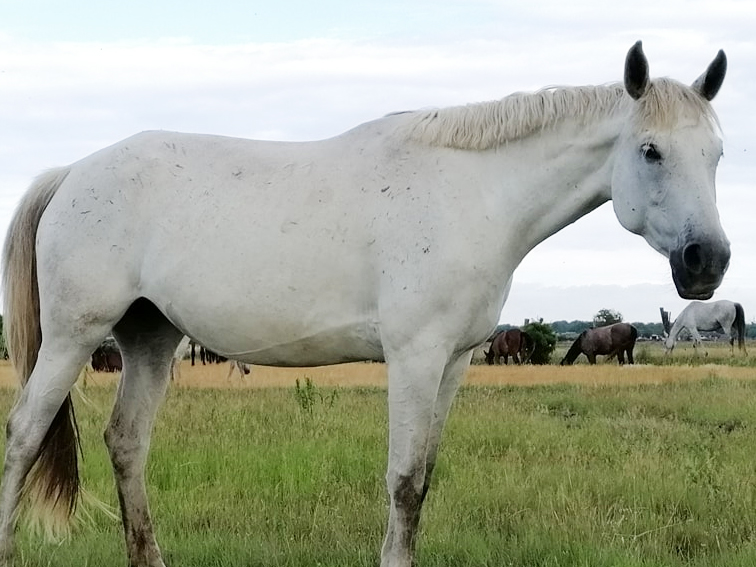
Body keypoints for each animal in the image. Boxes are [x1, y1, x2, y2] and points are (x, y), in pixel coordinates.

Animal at [0, 41, 728, 567]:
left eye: (719, 153)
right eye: (650, 150)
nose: (708, 261)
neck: (470, 194)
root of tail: (72, 172)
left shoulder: (454, 362)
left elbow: (424, 477)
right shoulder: (414, 358)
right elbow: (403, 481)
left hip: (150, 340)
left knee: (126, 442)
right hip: (73, 336)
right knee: (25, 434)